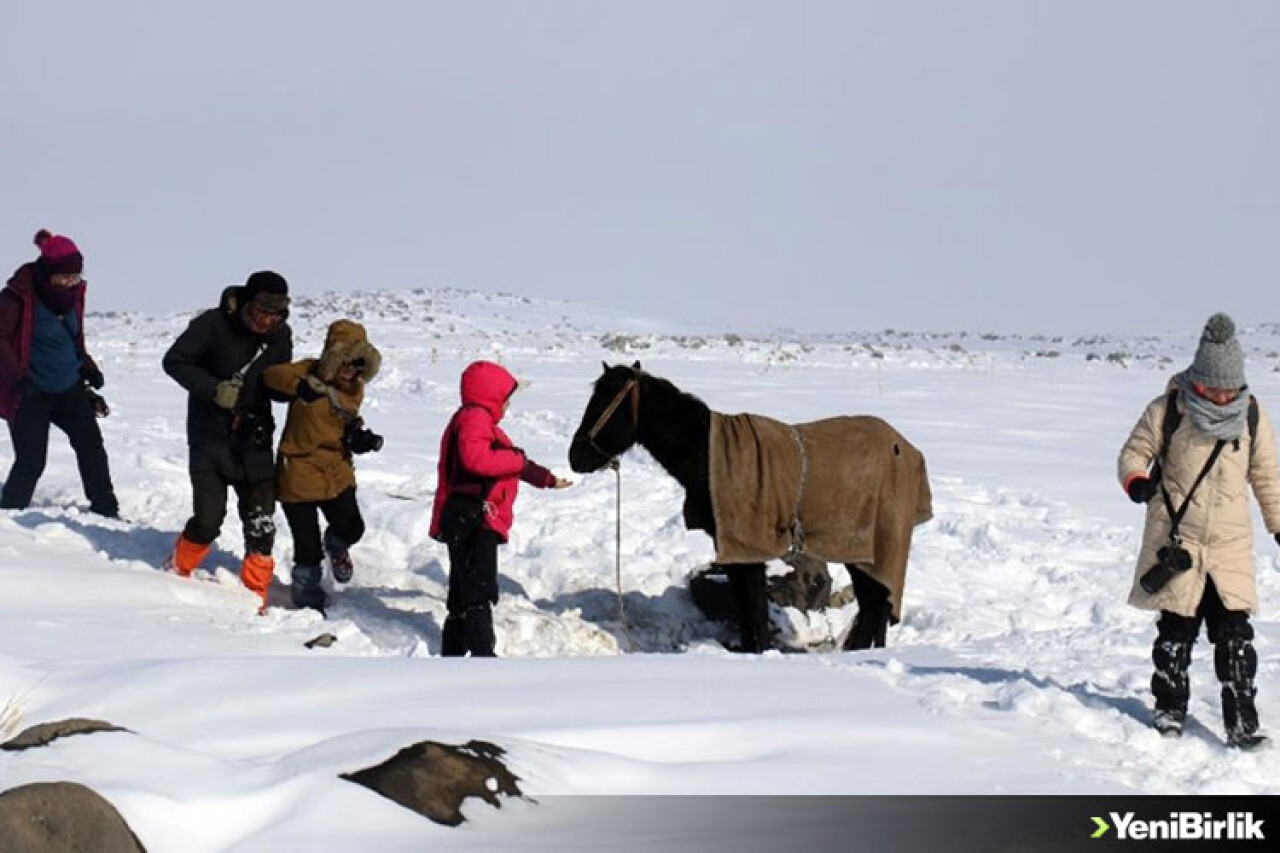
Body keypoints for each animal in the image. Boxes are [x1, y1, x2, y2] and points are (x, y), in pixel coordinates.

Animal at [570, 361, 921, 650]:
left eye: (603, 402)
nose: (575, 457)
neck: (708, 455)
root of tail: (908, 450)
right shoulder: (733, 549)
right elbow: (745, 606)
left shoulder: (748, 550)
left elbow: (753, 608)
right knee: (875, 607)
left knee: (876, 606)